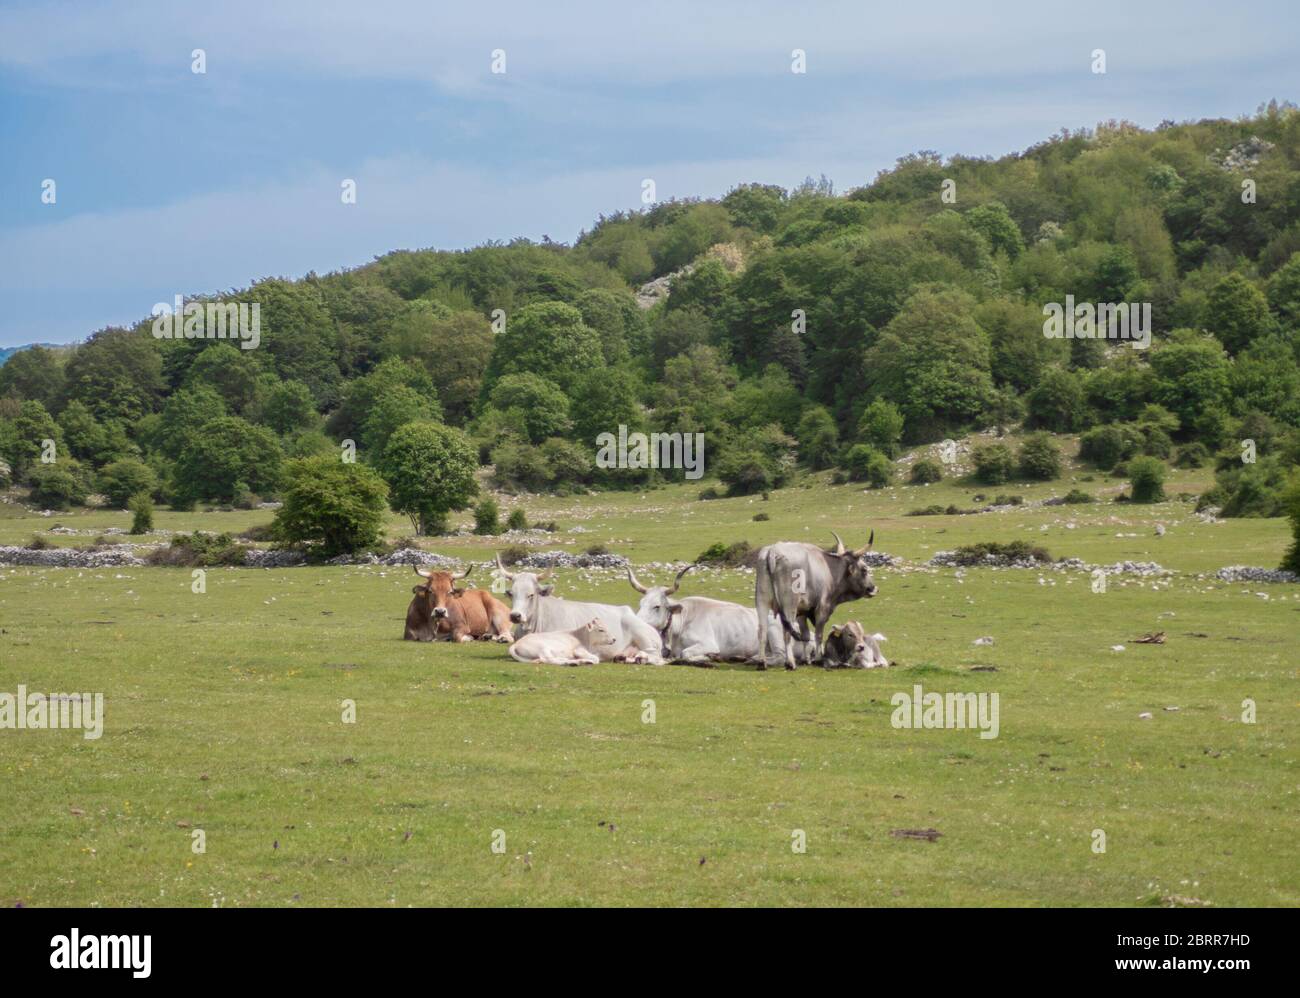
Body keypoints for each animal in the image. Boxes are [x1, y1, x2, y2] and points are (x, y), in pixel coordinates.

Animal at [491, 556, 665, 665]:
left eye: (531, 594)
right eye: (511, 594)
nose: (515, 616)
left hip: (646, 640)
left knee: (656, 657)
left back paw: (641, 658)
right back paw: (623, 658)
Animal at [629, 566, 811, 665]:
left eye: (657, 606)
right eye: (641, 604)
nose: (637, 622)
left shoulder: (707, 643)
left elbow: (685, 654)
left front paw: (708, 657)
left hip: (774, 631)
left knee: (780, 656)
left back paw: (752, 660)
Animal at [759, 530, 878, 670]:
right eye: (864, 569)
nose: (873, 588)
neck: (830, 570)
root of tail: (773, 551)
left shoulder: (802, 612)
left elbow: (805, 635)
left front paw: (806, 659)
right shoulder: (822, 608)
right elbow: (818, 634)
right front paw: (818, 658)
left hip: (761, 601)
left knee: (762, 630)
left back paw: (761, 662)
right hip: (789, 606)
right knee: (787, 633)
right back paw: (790, 663)